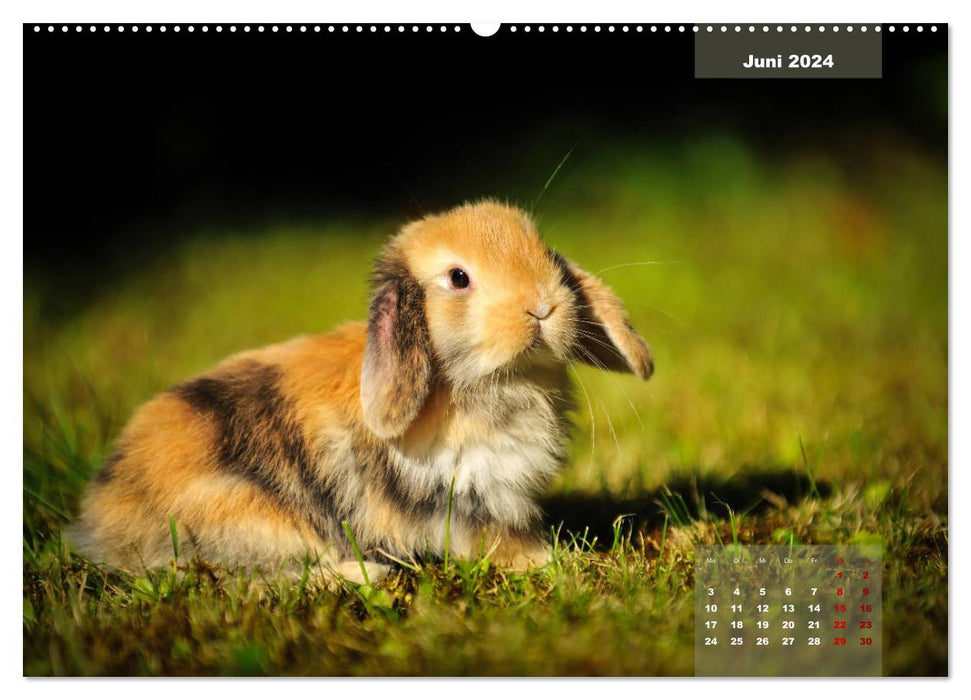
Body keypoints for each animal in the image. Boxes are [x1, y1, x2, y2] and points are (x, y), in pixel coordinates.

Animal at [68, 200, 652, 584]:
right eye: (458, 278)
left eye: (544, 253)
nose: (542, 307)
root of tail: (101, 522)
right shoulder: (465, 498)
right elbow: (494, 540)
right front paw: (552, 560)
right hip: (246, 521)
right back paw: (367, 574)